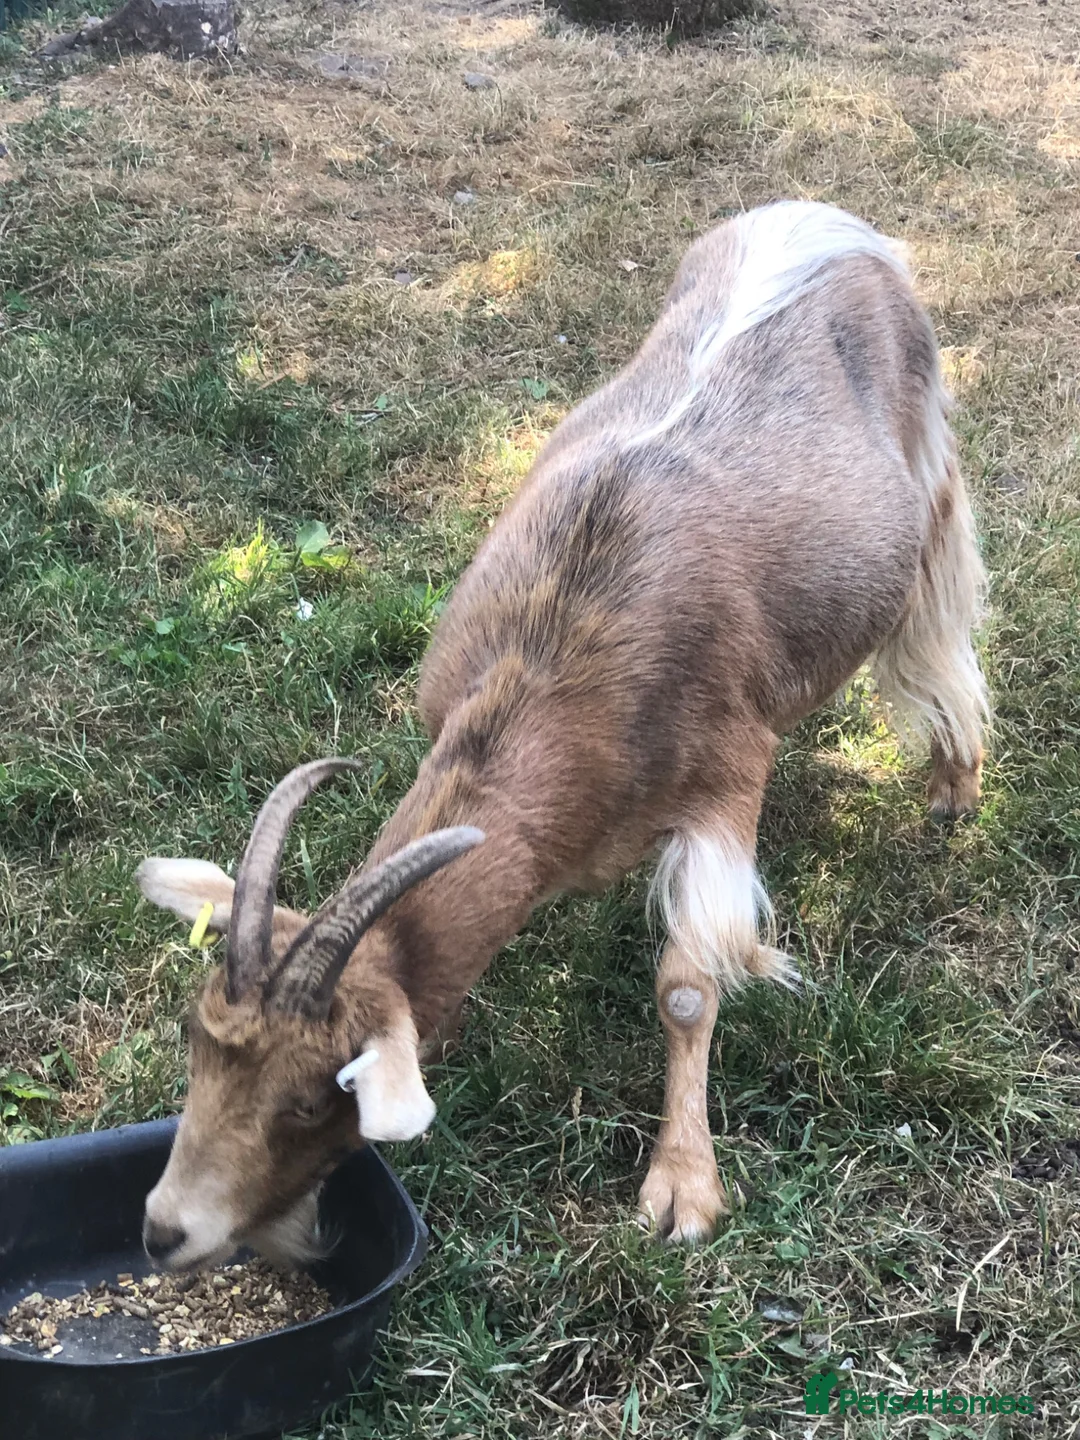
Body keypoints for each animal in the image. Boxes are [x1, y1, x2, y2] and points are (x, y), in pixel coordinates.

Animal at [137, 200, 988, 1266]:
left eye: (309, 1097)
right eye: (195, 1036)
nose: (164, 1229)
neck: (557, 655)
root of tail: (829, 220)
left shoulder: (727, 772)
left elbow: (687, 987)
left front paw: (682, 1186)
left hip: (930, 466)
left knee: (941, 611)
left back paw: (956, 782)